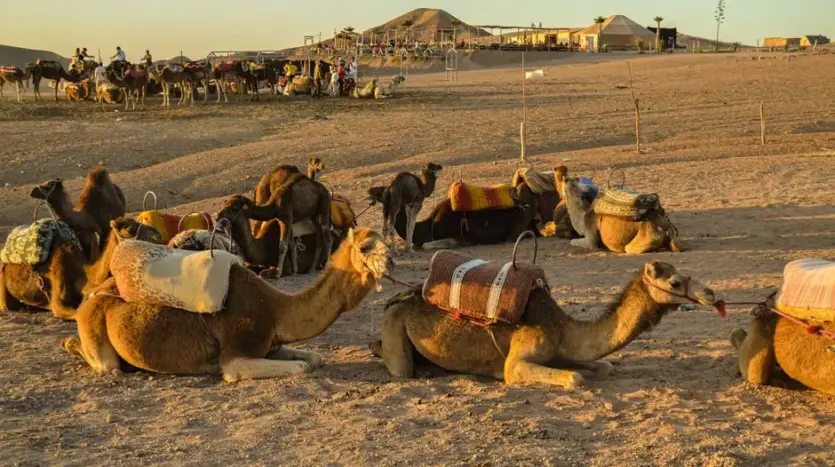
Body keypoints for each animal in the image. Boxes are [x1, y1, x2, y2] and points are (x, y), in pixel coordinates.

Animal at [61, 227, 394, 381]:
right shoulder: (238, 352)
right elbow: (300, 367)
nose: (390, 259)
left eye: (386, 240)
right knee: (106, 365)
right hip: (96, 330)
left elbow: (313, 358)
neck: (275, 308)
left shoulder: (270, 344)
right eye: (366, 246)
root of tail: (90, 297)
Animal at [373, 261, 718, 387]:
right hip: (394, 322)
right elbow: (575, 378)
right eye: (675, 282)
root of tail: (400, 297)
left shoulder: (558, 351)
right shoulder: (517, 363)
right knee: (400, 367)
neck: (562, 326)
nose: (710, 294)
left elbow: (602, 366)